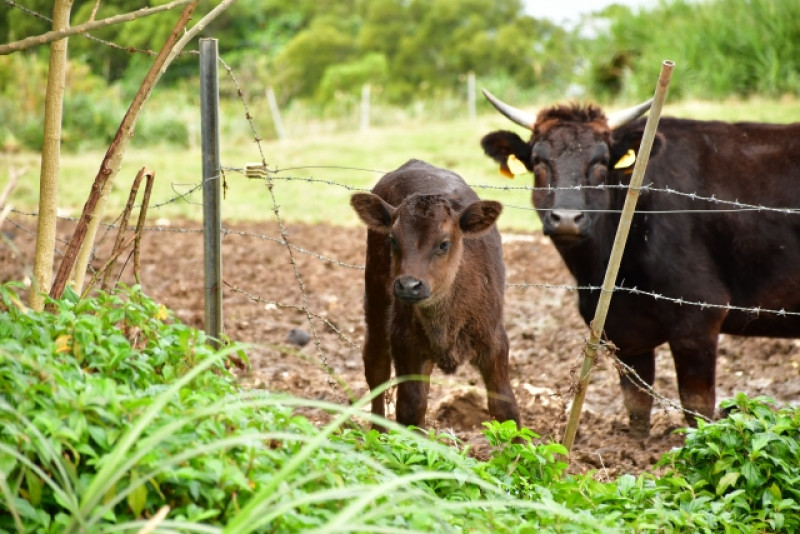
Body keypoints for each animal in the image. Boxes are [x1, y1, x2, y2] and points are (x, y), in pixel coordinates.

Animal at [350, 160, 520, 432]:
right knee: (376, 365)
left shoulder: (495, 340)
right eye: (392, 240)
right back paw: (377, 433)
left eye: (443, 244)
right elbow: (410, 407)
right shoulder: (403, 340)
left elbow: (506, 409)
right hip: (375, 297)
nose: (408, 286)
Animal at [478, 90, 800, 438]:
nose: (566, 218)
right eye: (538, 161)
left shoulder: (698, 316)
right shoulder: (623, 330)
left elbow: (697, 408)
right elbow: (636, 404)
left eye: (600, 162)